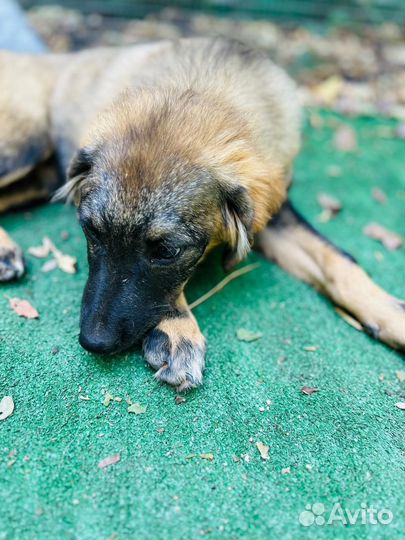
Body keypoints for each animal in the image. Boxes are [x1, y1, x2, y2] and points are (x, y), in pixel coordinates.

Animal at [0, 39, 404, 392]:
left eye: (166, 252)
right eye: (91, 230)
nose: (92, 342)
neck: (205, 84)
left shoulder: (273, 214)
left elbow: (339, 261)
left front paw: (391, 313)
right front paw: (178, 331)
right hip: (26, 143)